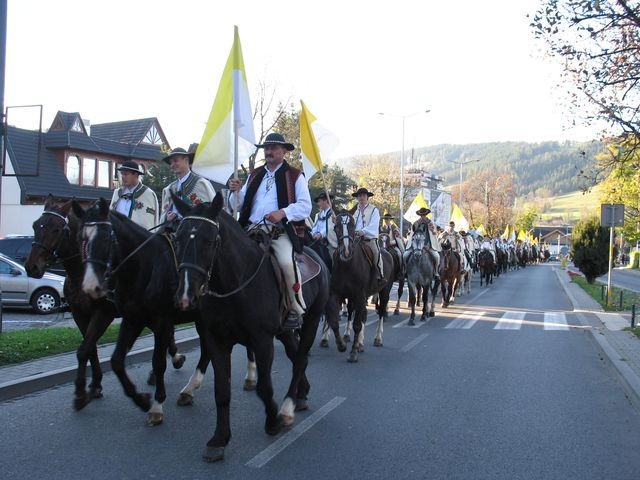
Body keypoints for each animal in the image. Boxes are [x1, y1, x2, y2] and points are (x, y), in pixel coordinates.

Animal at [71, 198, 199, 424]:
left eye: (106, 236)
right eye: (80, 238)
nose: (91, 287)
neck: (145, 267)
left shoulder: (160, 321)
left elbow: (158, 362)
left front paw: (157, 405)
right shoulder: (132, 320)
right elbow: (115, 361)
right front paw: (140, 399)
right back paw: (189, 390)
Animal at [171, 193, 330, 464]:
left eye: (209, 241)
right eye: (178, 238)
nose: (185, 296)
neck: (235, 281)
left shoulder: (262, 341)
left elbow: (265, 387)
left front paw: (273, 420)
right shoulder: (217, 341)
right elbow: (222, 391)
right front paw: (219, 439)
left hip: (311, 320)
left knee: (300, 359)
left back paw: (287, 408)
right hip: (285, 331)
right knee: (296, 354)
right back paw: (301, 394)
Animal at [328, 210, 392, 360]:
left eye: (352, 226)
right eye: (336, 227)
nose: (346, 252)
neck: (347, 265)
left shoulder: (360, 295)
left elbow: (357, 324)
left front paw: (353, 352)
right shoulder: (337, 294)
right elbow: (334, 321)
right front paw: (342, 345)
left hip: (384, 291)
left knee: (381, 312)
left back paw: (377, 339)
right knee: (361, 314)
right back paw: (360, 343)